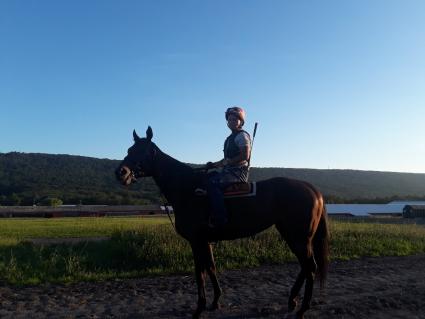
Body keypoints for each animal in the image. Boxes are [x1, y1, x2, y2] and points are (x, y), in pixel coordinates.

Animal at [117, 127, 332, 319]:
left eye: (145, 151)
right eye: (129, 150)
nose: (121, 172)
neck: (187, 189)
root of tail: (312, 189)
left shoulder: (196, 241)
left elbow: (200, 273)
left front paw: (199, 309)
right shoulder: (206, 241)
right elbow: (211, 267)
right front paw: (215, 302)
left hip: (299, 237)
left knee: (310, 267)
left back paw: (302, 309)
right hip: (291, 234)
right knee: (305, 267)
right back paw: (292, 300)